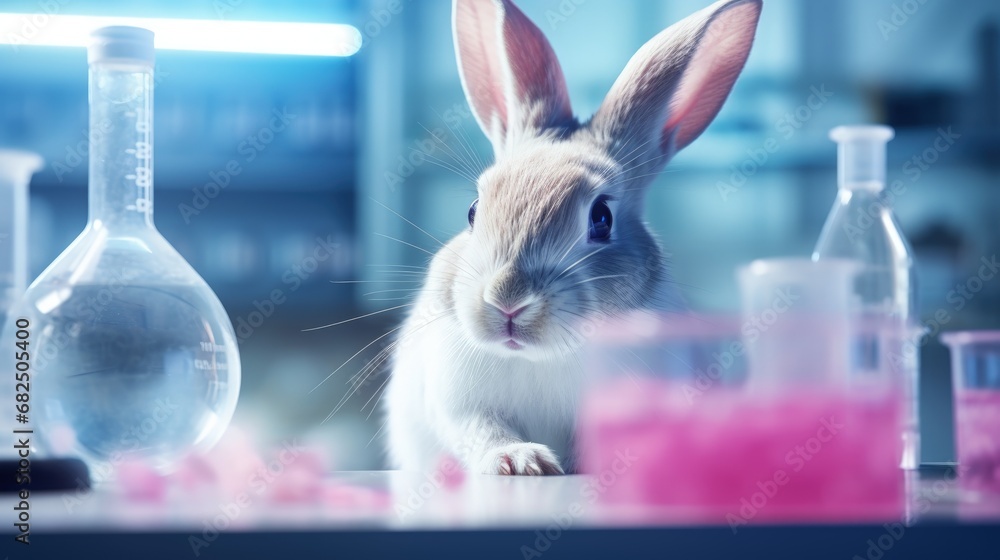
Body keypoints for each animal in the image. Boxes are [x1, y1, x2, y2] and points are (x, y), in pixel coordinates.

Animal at [385, 0, 762, 475]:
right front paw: (522, 462)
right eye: (472, 211)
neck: (539, 356)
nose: (508, 299)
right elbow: (483, 431)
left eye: (601, 218)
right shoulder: (458, 403)